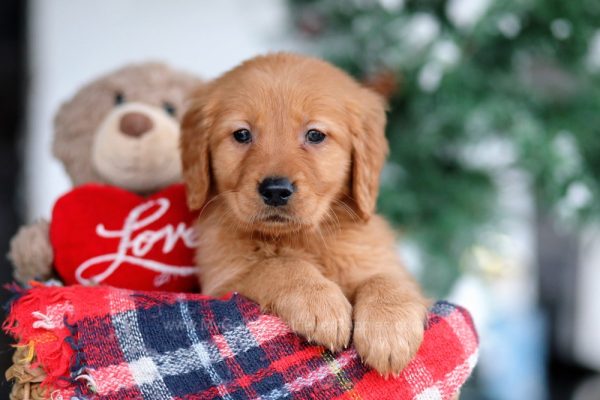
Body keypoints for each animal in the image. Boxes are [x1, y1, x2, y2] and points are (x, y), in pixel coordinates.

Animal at [180, 53, 428, 376]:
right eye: (242, 134)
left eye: (315, 135)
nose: (275, 190)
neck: (301, 238)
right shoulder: (221, 281)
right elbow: (278, 265)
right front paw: (319, 302)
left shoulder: (378, 259)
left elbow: (387, 279)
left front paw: (389, 329)